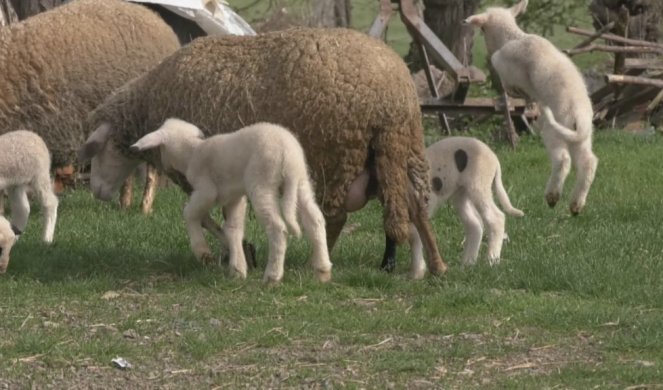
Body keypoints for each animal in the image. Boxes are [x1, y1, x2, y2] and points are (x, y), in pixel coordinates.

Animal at [132, 117, 334, 284]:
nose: (165, 168)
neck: (191, 152)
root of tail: (288, 154)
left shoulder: (206, 191)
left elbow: (189, 213)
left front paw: (203, 252)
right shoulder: (235, 197)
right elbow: (233, 229)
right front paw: (238, 270)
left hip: (262, 183)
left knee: (278, 228)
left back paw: (272, 276)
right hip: (301, 182)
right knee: (315, 219)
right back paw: (323, 270)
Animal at [404, 136, 524, 278]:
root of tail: (494, 158)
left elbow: (415, 236)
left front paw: (416, 272)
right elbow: (415, 236)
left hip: (478, 187)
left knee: (496, 218)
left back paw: (491, 260)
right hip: (461, 195)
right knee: (475, 225)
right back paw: (467, 264)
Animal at [464, 0, 600, 216]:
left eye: (483, 29)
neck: (513, 36)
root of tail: (579, 114)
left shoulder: (506, 72)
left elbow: (512, 88)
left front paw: (523, 99)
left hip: (554, 131)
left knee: (563, 160)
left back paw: (552, 197)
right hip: (581, 136)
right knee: (588, 162)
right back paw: (576, 205)